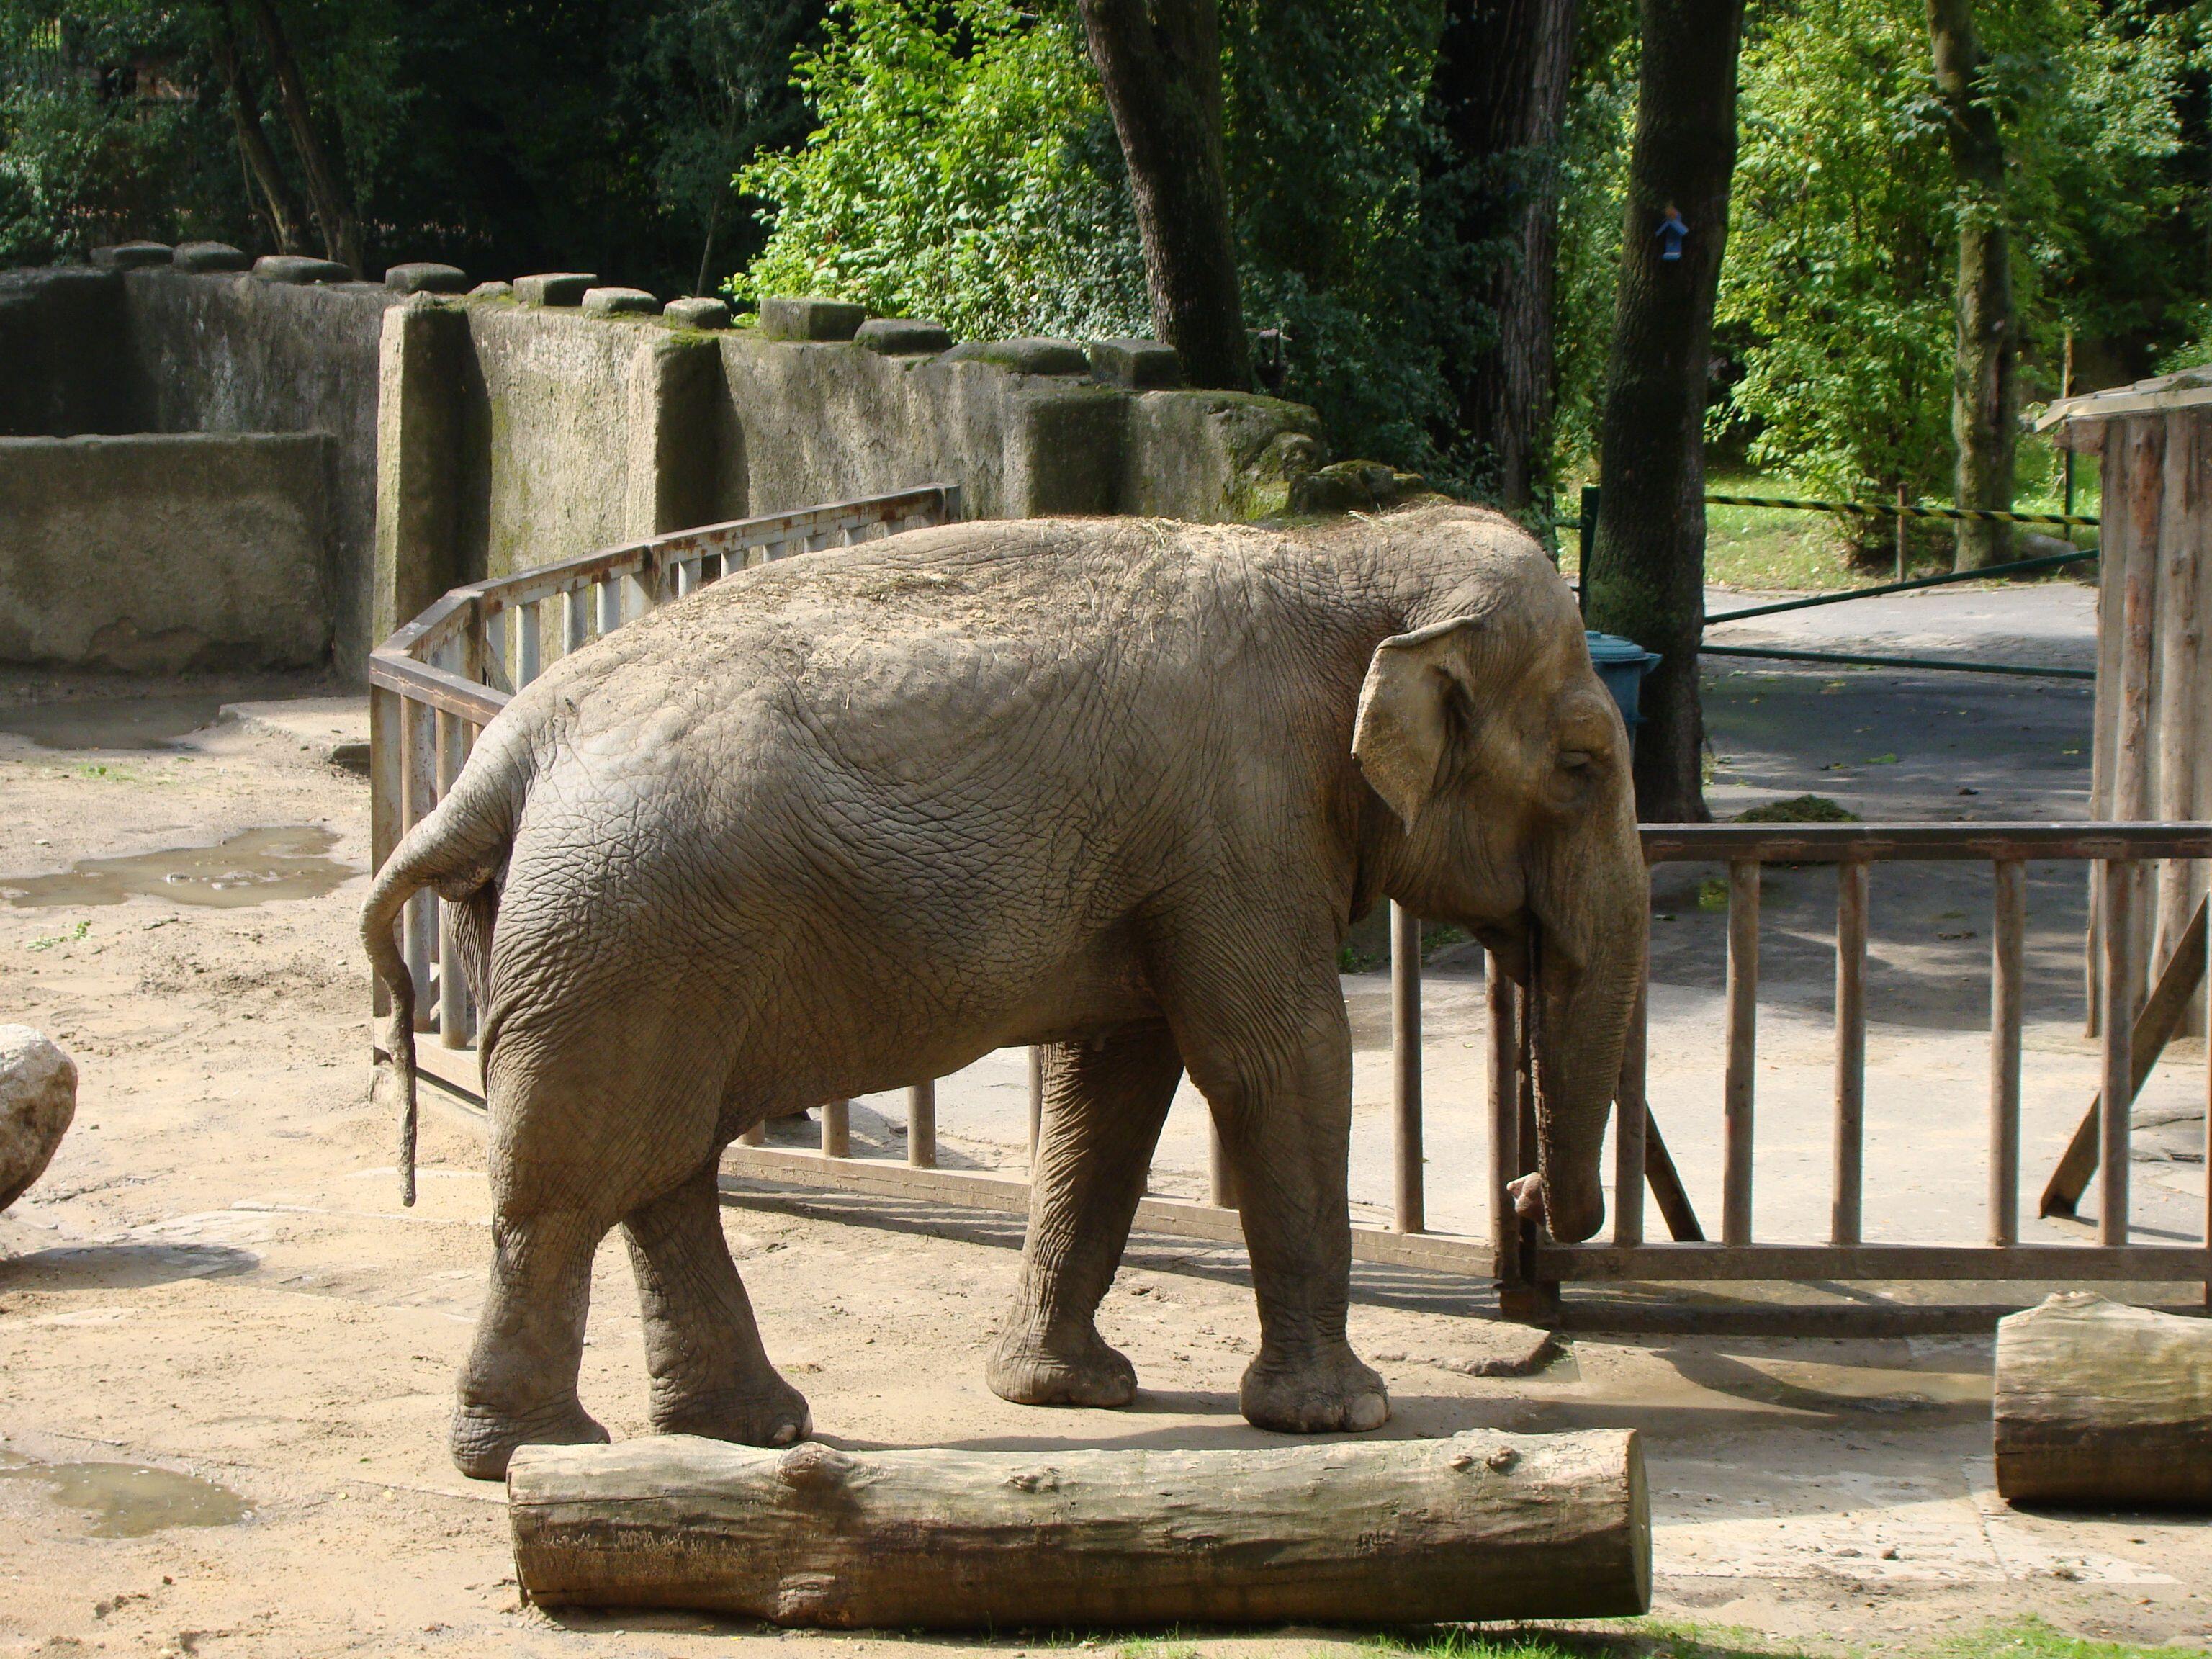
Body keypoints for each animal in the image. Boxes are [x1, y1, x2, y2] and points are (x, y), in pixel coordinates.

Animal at [362, 504, 1645, 1478]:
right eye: (1583, 768)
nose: (1528, 1192)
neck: (1345, 558)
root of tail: (507, 749)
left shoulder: (1171, 859)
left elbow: (1114, 1084)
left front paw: (1067, 1393)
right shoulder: (1242, 827)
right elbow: (1276, 1061)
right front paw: (1343, 1417)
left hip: (609, 934)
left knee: (661, 1167)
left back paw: (748, 1431)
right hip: (629, 923)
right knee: (577, 1181)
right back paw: (540, 1454)